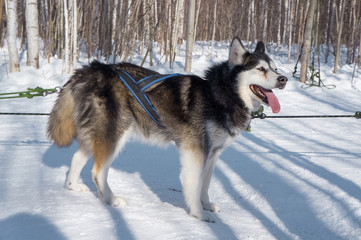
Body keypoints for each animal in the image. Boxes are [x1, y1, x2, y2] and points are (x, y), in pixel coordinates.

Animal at [47, 38, 286, 223]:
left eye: (274, 68)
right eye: (261, 69)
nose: (283, 79)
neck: (218, 96)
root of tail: (89, 70)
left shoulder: (213, 153)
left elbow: (205, 184)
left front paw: (206, 204)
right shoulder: (196, 151)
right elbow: (194, 184)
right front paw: (199, 214)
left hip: (97, 135)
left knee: (77, 158)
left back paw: (73, 186)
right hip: (114, 135)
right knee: (98, 172)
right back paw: (111, 199)